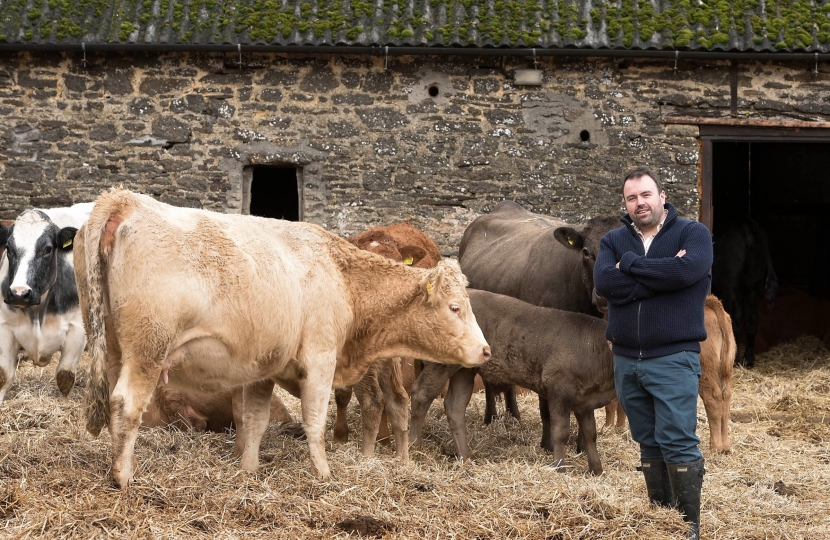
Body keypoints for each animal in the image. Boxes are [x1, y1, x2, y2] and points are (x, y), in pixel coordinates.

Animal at [0, 202, 92, 400]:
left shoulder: (77, 329)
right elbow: (4, 375)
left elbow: (65, 376)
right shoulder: (4, 327)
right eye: (9, 249)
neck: (37, 313)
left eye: (48, 249)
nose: (19, 293)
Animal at [604, 296, 736, 452]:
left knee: (713, 398)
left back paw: (715, 446)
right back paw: (725, 445)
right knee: (726, 396)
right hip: (725, 370)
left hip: (705, 371)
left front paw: (607, 429)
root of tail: (711, 302)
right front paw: (619, 429)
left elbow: (611, 403)